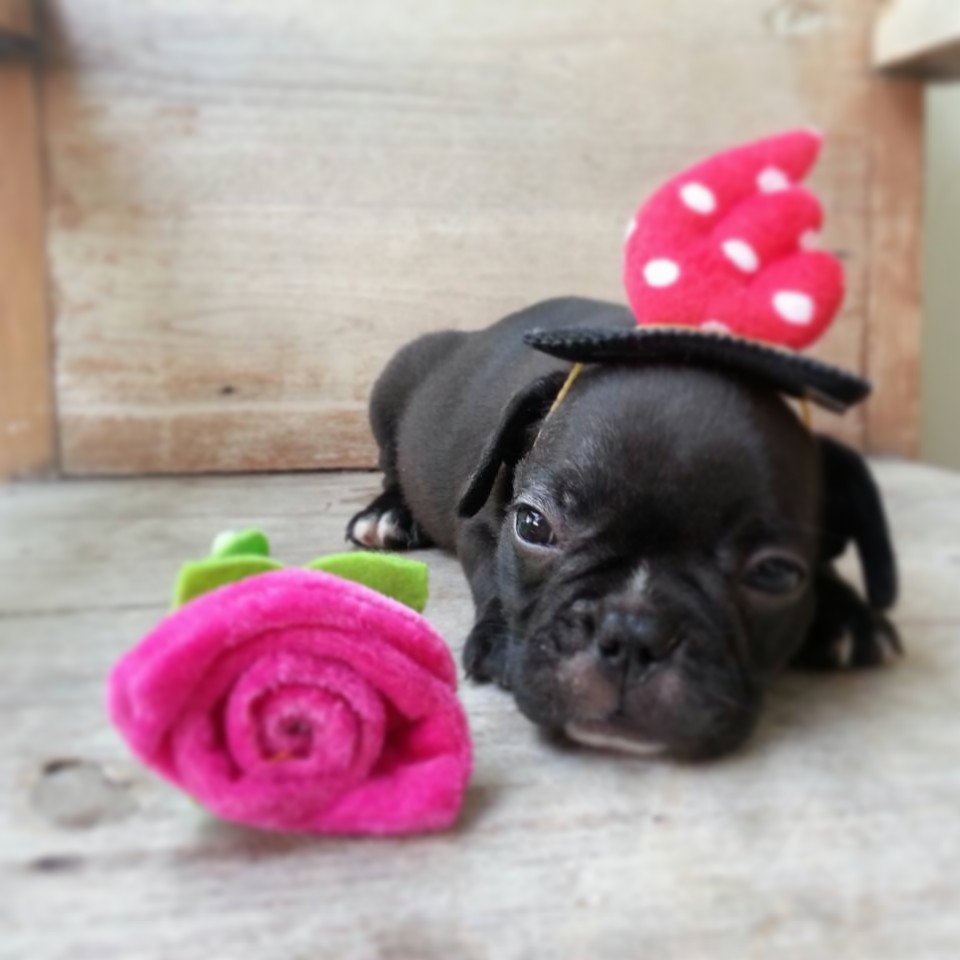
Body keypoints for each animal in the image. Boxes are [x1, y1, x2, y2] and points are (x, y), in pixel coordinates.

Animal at [347, 297, 899, 759]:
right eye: (533, 526)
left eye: (775, 575)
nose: (632, 633)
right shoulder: (482, 525)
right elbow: (494, 577)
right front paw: (502, 641)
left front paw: (848, 613)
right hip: (392, 388)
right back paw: (388, 515)